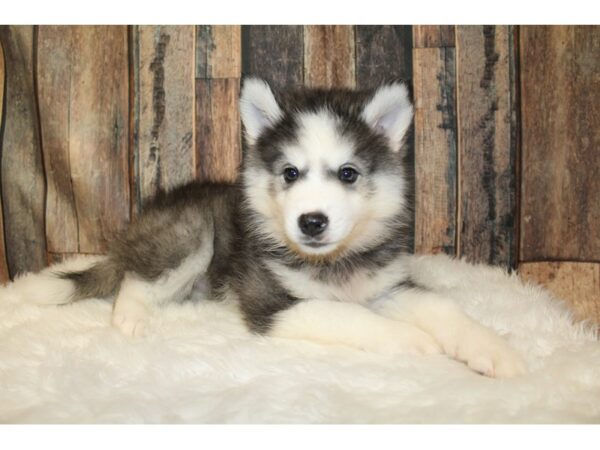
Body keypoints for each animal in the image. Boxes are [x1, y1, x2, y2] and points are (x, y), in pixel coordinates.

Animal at [11, 79, 524, 378]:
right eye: (290, 173)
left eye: (349, 173)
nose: (312, 221)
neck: (328, 264)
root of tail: (137, 226)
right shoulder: (271, 304)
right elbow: (346, 315)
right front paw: (413, 340)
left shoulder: (386, 285)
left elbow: (442, 307)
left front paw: (493, 349)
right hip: (190, 232)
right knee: (137, 277)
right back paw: (130, 316)